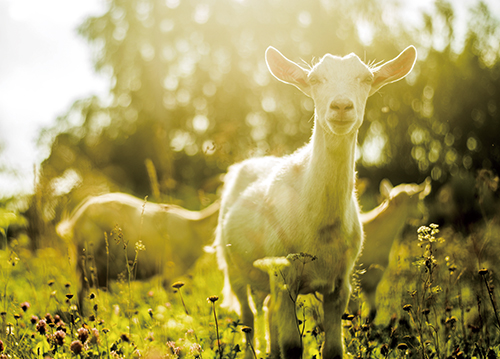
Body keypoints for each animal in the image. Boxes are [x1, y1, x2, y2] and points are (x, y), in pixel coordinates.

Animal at [213, 45, 416, 359]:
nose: (341, 106)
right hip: (233, 267)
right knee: (247, 316)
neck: (322, 226)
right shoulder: (284, 275)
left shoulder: (340, 286)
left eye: (367, 79)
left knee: (268, 311)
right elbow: (292, 346)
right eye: (314, 79)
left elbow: (333, 350)